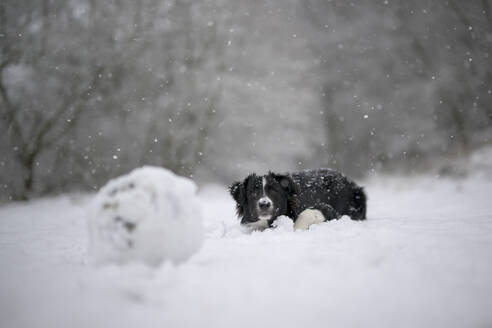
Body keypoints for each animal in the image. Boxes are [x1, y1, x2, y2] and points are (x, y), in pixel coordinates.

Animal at [230, 169, 366, 231]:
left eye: (274, 191)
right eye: (253, 192)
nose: (264, 204)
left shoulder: (328, 209)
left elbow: (307, 213)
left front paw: (296, 228)